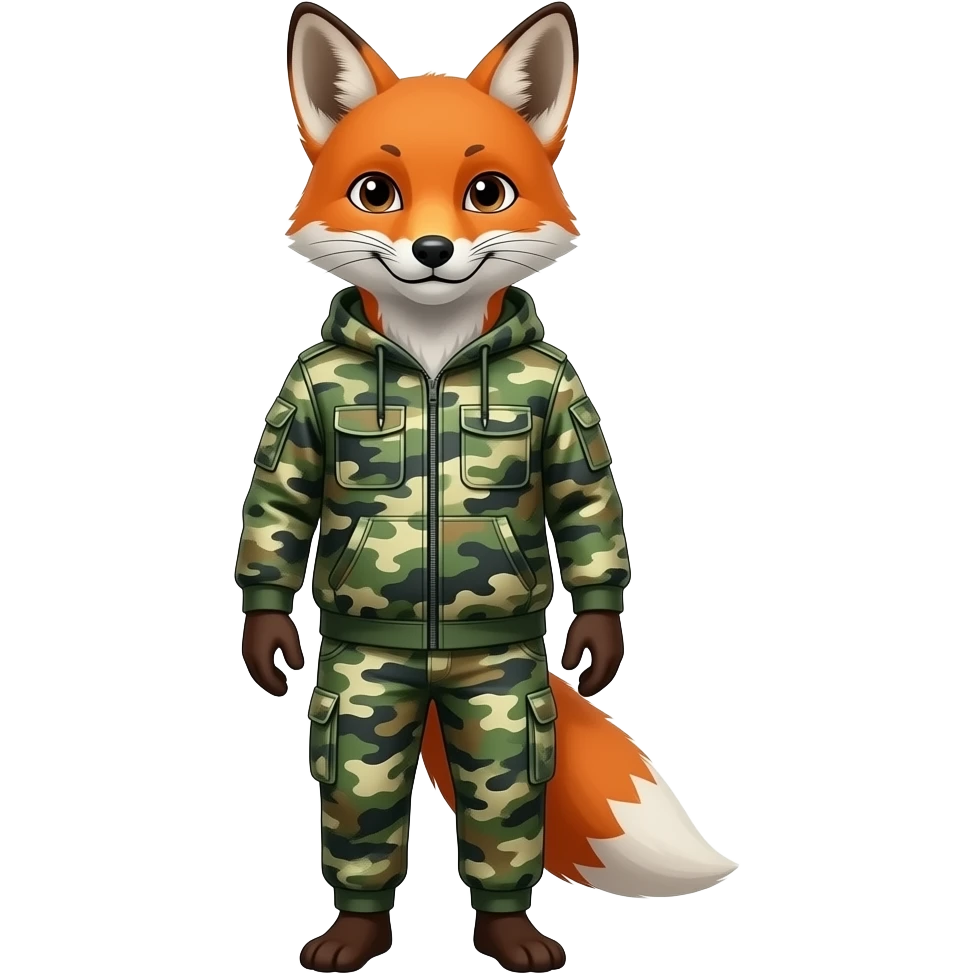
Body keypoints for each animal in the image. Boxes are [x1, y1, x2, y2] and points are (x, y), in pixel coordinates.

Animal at [237, 2, 737, 971]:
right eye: (376, 193)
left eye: (489, 193)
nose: (433, 251)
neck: (435, 356)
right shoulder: (299, 402)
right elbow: (279, 508)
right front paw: (267, 633)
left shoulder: (568, 403)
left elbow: (587, 511)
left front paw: (598, 635)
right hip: (364, 694)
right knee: (360, 793)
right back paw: (354, 932)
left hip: (503, 695)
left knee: (504, 803)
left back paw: (512, 932)